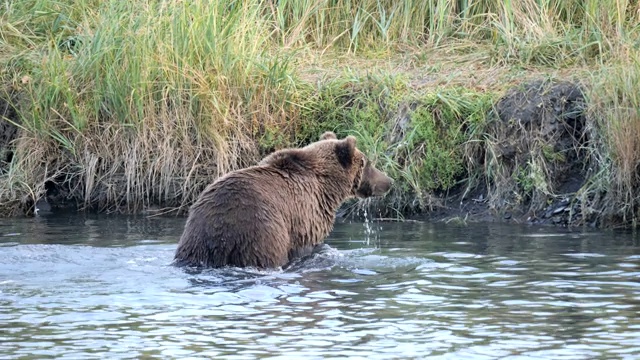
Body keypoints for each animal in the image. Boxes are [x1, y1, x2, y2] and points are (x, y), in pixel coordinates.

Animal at [175, 131, 396, 268]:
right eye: (368, 163)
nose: (389, 181)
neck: (328, 187)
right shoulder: (306, 217)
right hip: (262, 233)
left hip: (197, 236)